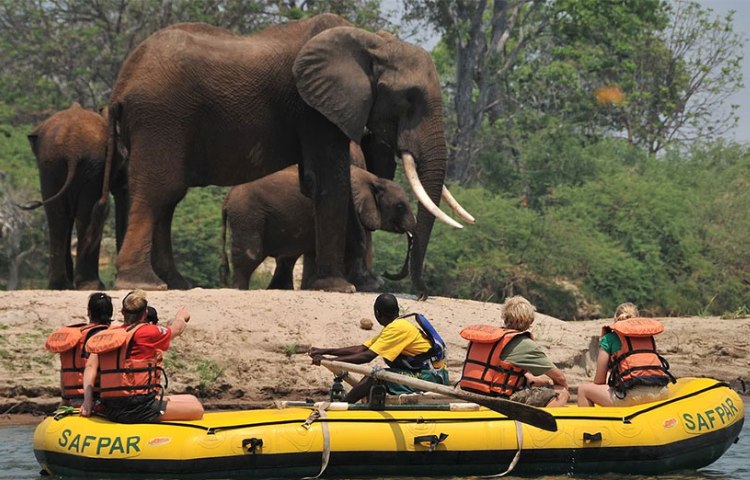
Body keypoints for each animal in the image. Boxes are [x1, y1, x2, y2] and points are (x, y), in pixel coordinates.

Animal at [20, 103, 128, 290]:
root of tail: (71, 150)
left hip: (53, 165)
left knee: (58, 217)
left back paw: (61, 285)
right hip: (78, 164)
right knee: (81, 216)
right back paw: (89, 286)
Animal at [220, 165, 416, 290]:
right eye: (400, 207)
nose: (386, 274)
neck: (373, 179)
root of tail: (227, 197)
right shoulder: (348, 204)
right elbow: (357, 240)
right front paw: (371, 286)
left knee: (288, 256)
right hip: (248, 214)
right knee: (252, 254)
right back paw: (240, 289)